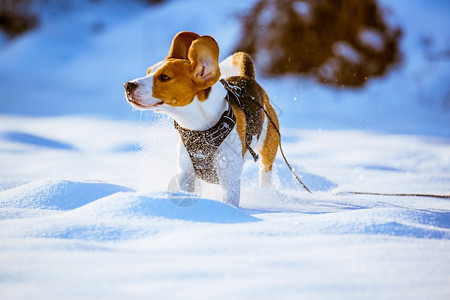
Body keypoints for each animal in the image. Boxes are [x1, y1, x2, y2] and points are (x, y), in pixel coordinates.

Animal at [123, 32, 278, 206]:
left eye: (164, 77)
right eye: (148, 71)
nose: (127, 85)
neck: (198, 128)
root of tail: (247, 78)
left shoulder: (230, 181)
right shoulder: (186, 176)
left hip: (268, 148)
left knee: (265, 171)